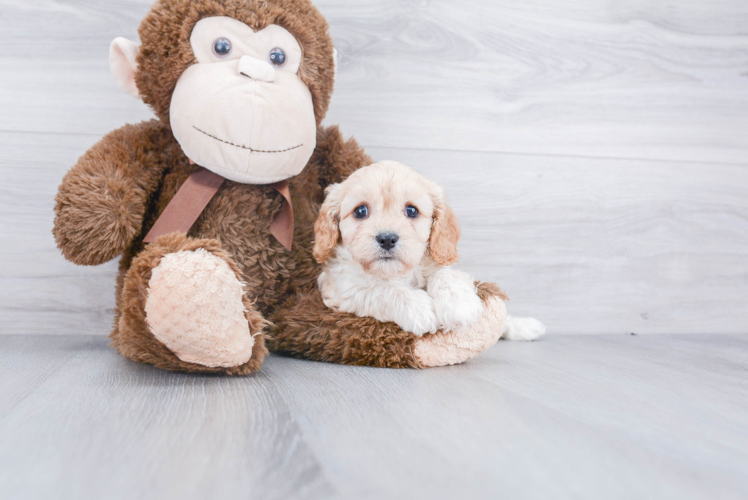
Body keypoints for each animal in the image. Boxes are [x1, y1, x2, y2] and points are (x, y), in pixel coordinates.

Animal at [312, 160, 548, 340]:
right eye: (360, 211)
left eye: (411, 211)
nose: (387, 239)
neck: (398, 273)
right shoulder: (341, 289)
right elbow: (380, 290)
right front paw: (418, 309)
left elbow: (446, 274)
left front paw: (459, 304)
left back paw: (526, 326)